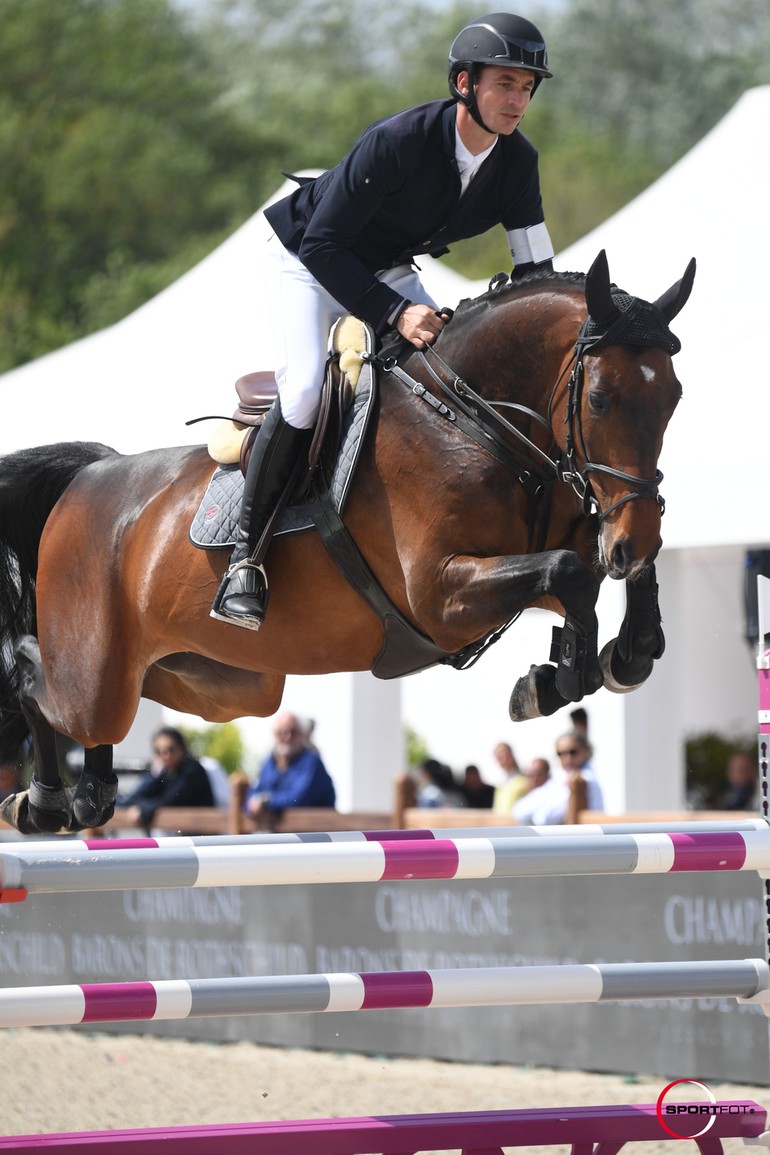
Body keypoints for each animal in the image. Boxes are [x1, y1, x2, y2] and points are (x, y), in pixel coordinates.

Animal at [0, 250, 692, 831]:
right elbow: (568, 571)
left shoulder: (535, 557)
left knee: (116, 712)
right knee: (41, 683)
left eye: (674, 397)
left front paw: (613, 657)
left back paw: (86, 796)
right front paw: (561, 675)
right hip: (97, 671)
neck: (472, 422)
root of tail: (88, 475)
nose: (631, 538)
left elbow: (595, 574)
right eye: (599, 399)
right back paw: (43, 796)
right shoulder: (440, 596)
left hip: (222, 685)